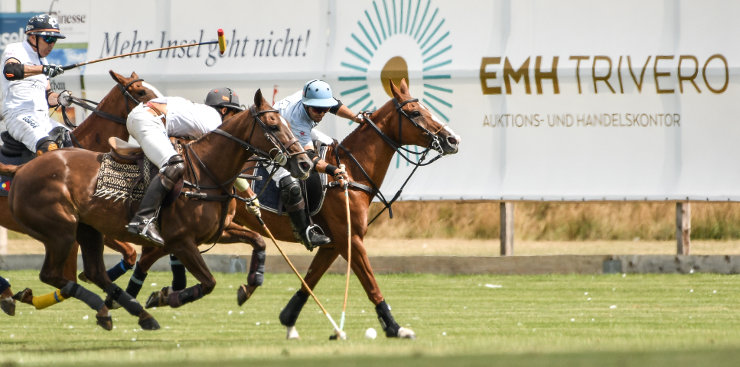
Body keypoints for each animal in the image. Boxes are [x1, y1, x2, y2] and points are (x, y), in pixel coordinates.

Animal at [0, 90, 312, 332]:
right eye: (273, 125)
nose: (305, 164)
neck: (208, 172)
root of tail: (21, 169)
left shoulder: (218, 232)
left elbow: (259, 242)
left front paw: (249, 285)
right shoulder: (181, 241)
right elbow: (209, 282)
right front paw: (165, 297)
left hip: (87, 230)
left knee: (93, 271)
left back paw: (132, 312)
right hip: (60, 230)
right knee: (53, 275)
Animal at [137, 80, 456, 340]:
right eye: (414, 113)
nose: (453, 139)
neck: (354, 171)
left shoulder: (333, 242)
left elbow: (311, 279)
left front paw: (289, 320)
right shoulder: (350, 238)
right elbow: (370, 283)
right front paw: (394, 327)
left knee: (151, 253)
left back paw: (152, 299)